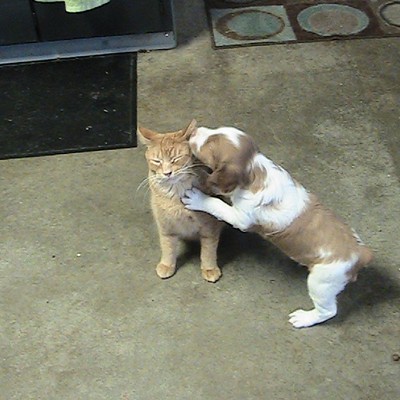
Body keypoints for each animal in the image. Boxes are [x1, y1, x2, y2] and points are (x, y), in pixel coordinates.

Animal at [138, 119, 223, 282]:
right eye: (157, 161)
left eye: (176, 159)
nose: (167, 173)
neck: (176, 196)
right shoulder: (166, 227)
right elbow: (167, 247)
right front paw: (167, 265)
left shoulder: (210, 227)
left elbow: (208, 250)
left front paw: (209, 268)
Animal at [183, 124, 374, 328]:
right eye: (215, 129)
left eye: (210, 145)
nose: (194, 130)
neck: (254, 169)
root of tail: (361, 253)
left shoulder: (241, 217)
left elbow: (216, 204)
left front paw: (197, 198)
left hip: (322, 283)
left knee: (328, 311)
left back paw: (304, 319)